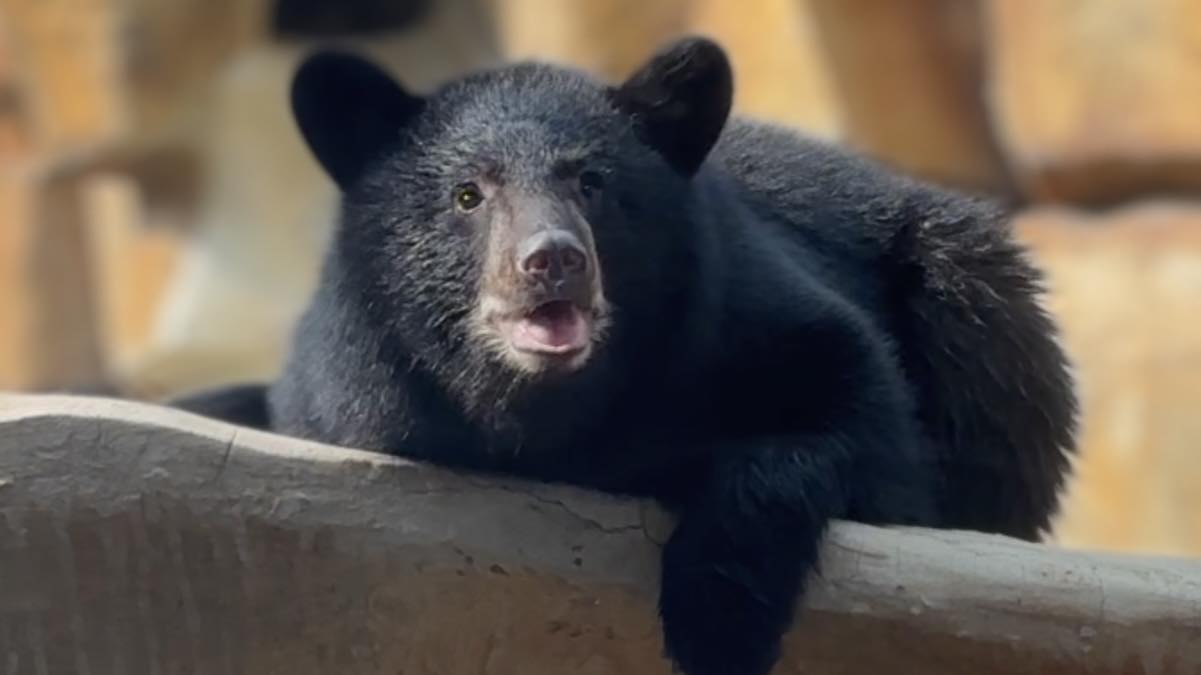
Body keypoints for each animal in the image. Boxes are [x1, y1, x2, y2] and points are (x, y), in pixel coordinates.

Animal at [171, 37, 1078, 675]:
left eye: (593, 182)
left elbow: (871, 435)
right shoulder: (354, 390)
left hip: (972, 283)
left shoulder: (738, 309)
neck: (557, 410)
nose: (551, 259)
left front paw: (716, 622)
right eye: (468, 194)